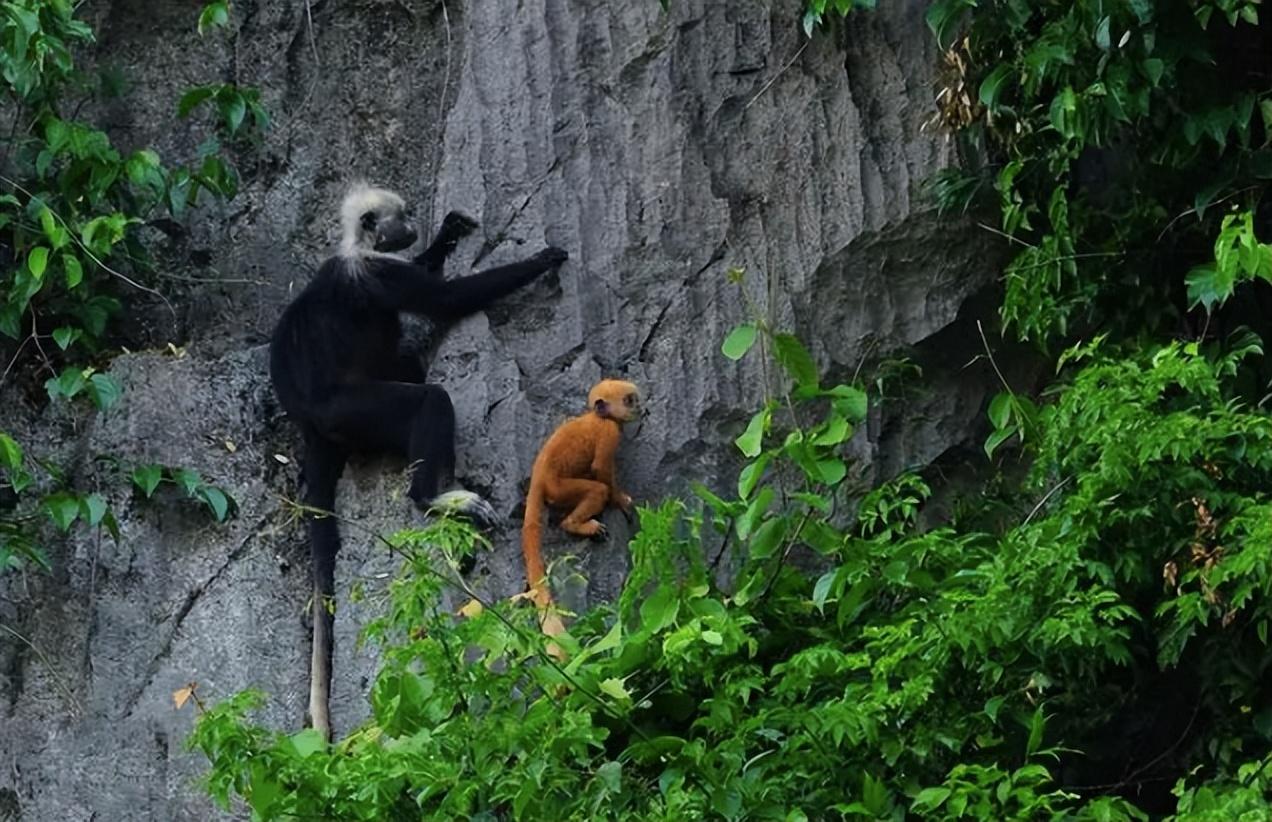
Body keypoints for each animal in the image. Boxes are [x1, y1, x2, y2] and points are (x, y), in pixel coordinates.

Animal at [269, 185, 567, 743]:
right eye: (401, 217)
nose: (410, 229)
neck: (356, 249)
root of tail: (310, 423)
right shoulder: (379, 275)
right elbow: (445, 299)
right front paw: (540, 260)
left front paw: (446, 234)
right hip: (354, 412)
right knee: (428, 400)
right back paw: (435, 496)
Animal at [521, 379, 641, 626]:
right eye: (629, 400)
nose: (640, 408)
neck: (599, 417)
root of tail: (538, 478)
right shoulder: (608, 433)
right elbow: (601, 469)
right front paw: (620, 500)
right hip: (559, 489)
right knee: (597, 490)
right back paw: (576, 525)